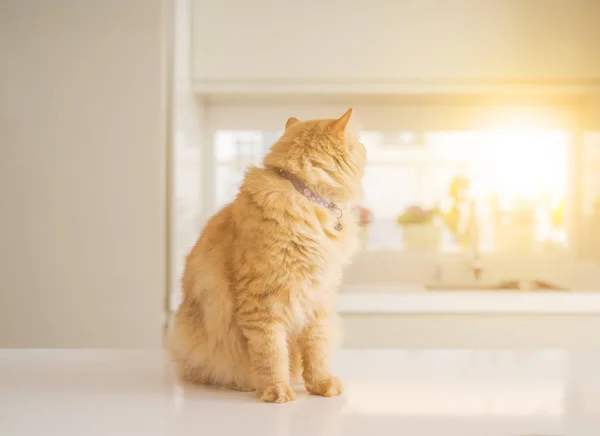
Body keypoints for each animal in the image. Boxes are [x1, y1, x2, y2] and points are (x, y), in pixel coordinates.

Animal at [168, 109, 366, 402]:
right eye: (361, 145)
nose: (366, 148)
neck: (306, 197)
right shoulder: (263, 302)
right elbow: (272, 354)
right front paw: (276, 391)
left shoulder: (318, 300)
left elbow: (316, 353)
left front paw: (321, 385)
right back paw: (242, 384)